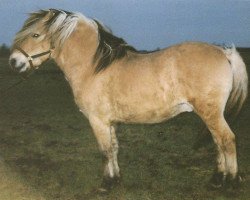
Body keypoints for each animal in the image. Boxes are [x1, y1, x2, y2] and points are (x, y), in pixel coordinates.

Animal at [8, 9, 247, 191]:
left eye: (35, 35)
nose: (13, 62)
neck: (93, 68)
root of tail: (224, 52)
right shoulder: (110, 122)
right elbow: (114, 149)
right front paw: (116, 180)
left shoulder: (97, 121)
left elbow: (104, 151)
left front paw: (106, 184)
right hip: (211, 115)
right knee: (218, 142)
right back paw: (216, 179)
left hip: (211, 114)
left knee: (227, 140)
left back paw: (231, 182)